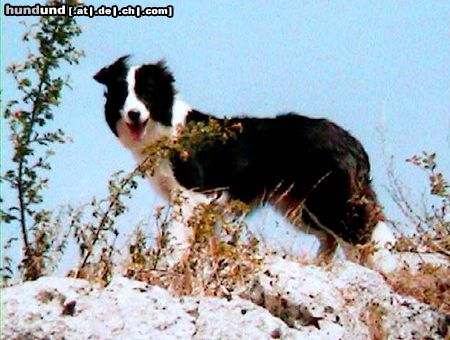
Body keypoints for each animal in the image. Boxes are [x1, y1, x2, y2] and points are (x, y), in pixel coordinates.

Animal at [94, 55, 394, 264]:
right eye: (122, 94)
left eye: (146, 92)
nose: (133, 114)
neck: (166, 126)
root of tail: (352, 141)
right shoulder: (208, 207)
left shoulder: (192, 196)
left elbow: (177, 241)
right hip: (298, 206)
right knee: (330, 239)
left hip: (329, 200)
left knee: (361, 238)